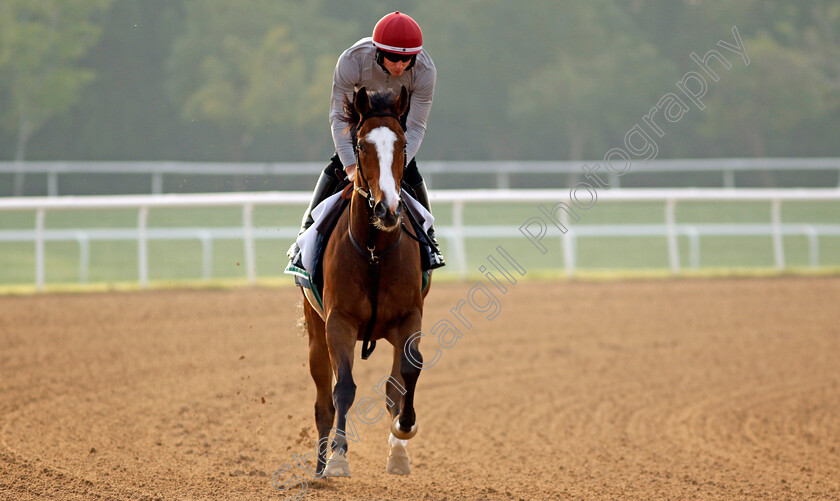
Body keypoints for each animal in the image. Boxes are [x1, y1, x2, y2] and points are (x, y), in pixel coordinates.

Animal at [300, 85, 430, 476]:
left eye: (402, 143)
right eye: (359, 144)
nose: (388, 209)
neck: (374, 252)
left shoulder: (409, 316)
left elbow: (406, 373)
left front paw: (404, 430)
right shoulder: (338, 321)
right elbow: (343, 387)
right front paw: (338, 458)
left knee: (392, 384)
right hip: (316, 333)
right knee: (323, 402)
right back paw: (321, 465)